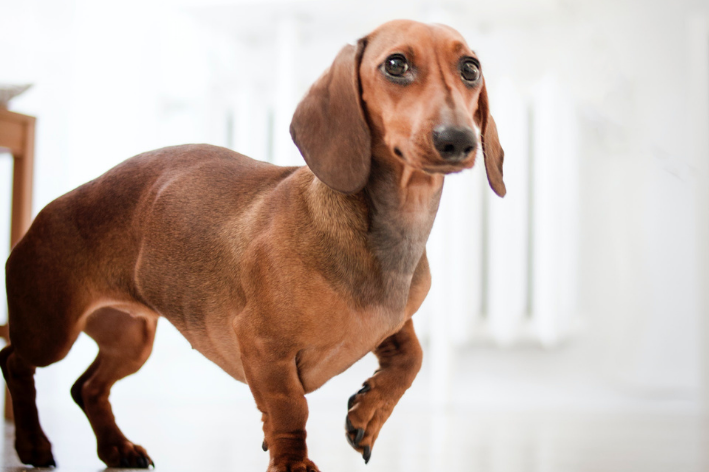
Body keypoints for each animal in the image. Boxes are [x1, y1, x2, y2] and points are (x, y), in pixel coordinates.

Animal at [2, 19, 506, 472]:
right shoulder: (262, 345)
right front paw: (292, 461)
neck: (386, 234)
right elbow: (289, 407)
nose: (458, 141)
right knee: (14, 360)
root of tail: (51, 209)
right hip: (50, 330)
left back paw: (116, 449)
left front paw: (366, 415)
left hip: (131, 338)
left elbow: (412, 359)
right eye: (396, 64)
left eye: (470, 68)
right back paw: (32, 445)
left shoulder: (391, 325)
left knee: (86, 388)